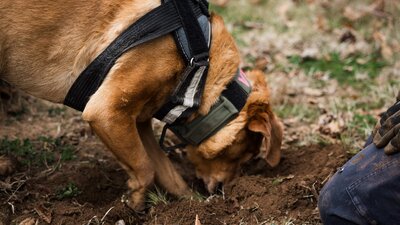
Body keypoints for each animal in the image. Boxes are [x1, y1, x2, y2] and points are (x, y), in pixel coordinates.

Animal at [0, 0, 282, 211]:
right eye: (243, 155)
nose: (225, 191)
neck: (199, 67)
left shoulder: (140, 121)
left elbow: (165, 170)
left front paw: (193, 205)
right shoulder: (106, 112)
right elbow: (145, 168)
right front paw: (134, 203)